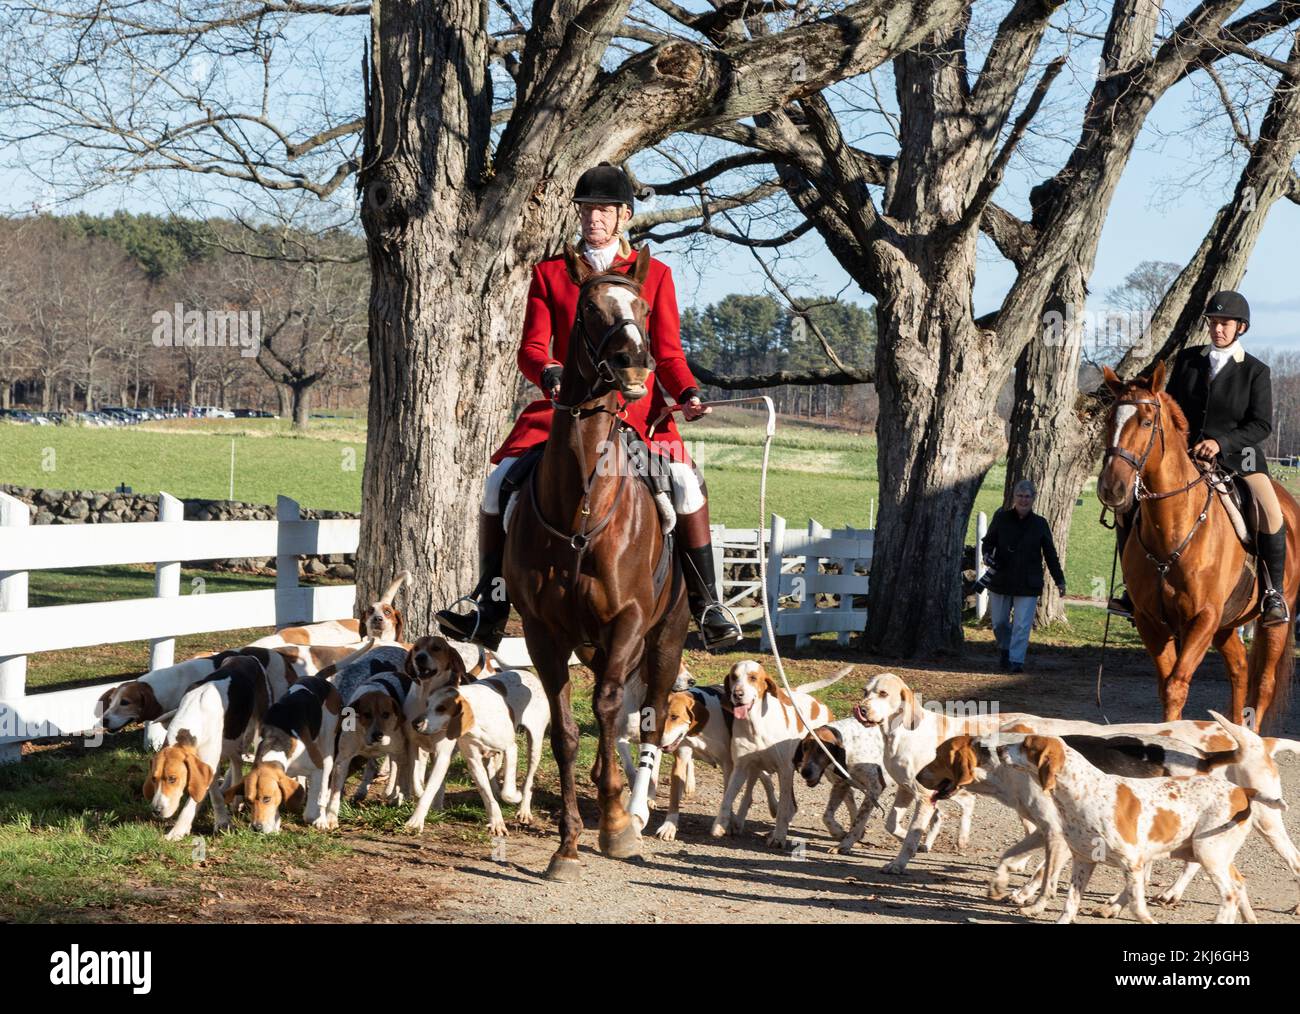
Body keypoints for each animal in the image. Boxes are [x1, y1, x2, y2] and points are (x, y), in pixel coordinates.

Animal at [501, 245, 696, 878]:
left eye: (644, 307)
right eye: (589, 308)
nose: (634, 363)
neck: (582, 509)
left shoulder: (628, 621)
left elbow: (611, 708)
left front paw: (614, 824)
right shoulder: (544, 632)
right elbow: (566, 729)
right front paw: (566, 843)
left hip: (665, 639)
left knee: (649, 714)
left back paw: (635, 807)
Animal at [1102, 361, 1294, 728]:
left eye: (1146, 422)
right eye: (1108, 420)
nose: (1112, 487)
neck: (1173, 527)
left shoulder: (1203, 617)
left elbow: (1177, 684)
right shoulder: (1151, 619)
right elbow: (1166, 685)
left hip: (1272, 618)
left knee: (1264, 683)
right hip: (1227, 622)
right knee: (1240, 668)